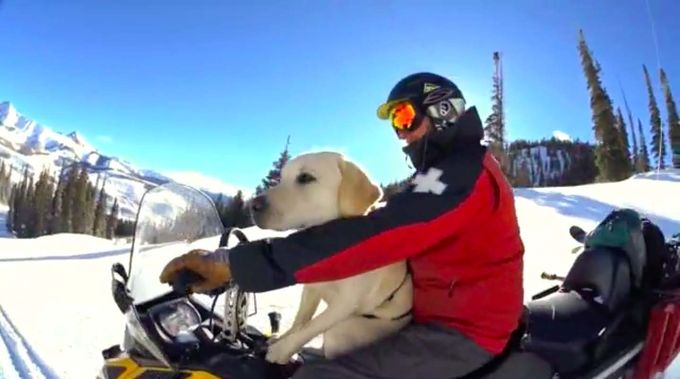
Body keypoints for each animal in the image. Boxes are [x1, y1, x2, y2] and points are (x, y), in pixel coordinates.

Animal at [251, 151, 414, 366]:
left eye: (305, 177)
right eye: (281, 177)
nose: (252, 205)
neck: (331, 248)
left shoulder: (344, 305)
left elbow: (309, 328)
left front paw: (281, 351)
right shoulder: (311, 288)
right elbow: (300, 321)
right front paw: (283, 340)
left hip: (342, 332)